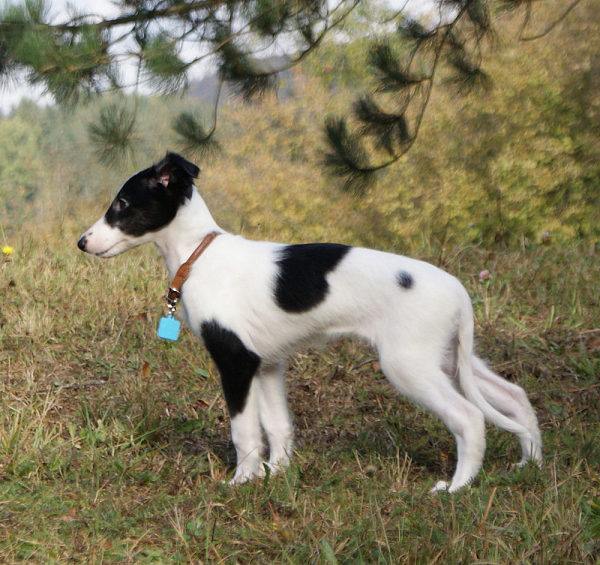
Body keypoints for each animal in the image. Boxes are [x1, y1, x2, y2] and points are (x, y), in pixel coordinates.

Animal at [77, 152, 540, 492]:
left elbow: (245, 431)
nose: (82, 242)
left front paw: (242, 481)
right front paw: (277, 473)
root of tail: (458, 290)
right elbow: (278, 426)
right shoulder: (266, 363)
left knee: (470, 417)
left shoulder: (236, 362)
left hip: (408, 365)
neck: (199, 254)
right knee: (515, 397)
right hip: (450, 358)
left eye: (121, 204)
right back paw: (529, 464)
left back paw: (458, 487)